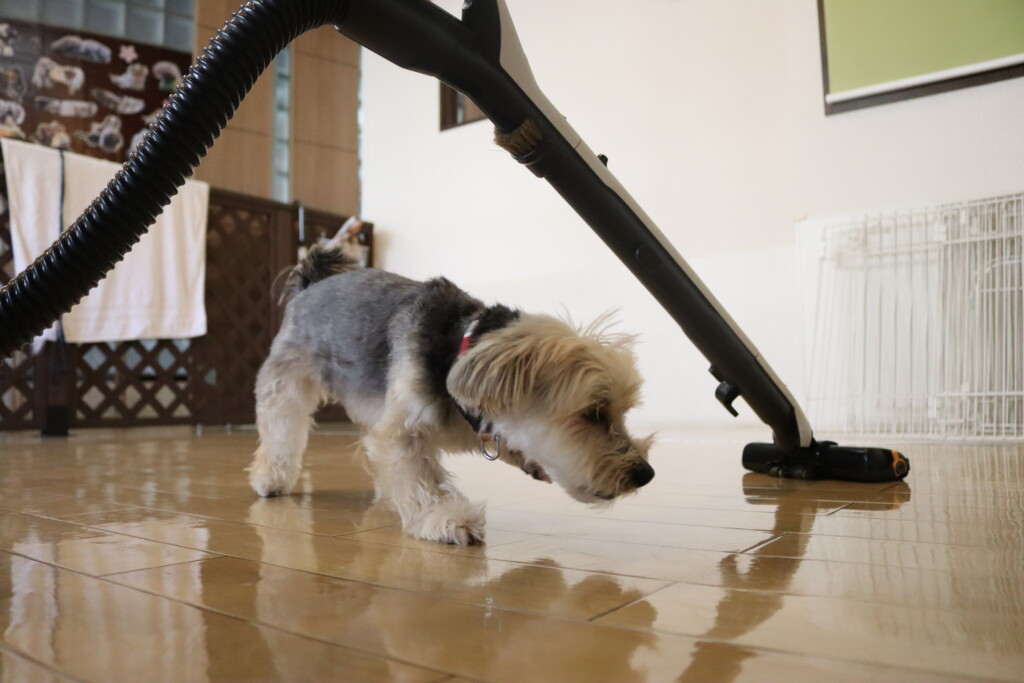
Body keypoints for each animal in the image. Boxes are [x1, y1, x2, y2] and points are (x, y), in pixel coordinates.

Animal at [248, 242, 655, 545]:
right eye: (593, 413)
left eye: (621, 412)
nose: (646, 474)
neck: (460, 347)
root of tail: (309, 282)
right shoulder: (403, 428)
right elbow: (420, 477)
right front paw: (445, 518)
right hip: (288, 379)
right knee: (282, 427)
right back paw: (271, 478)